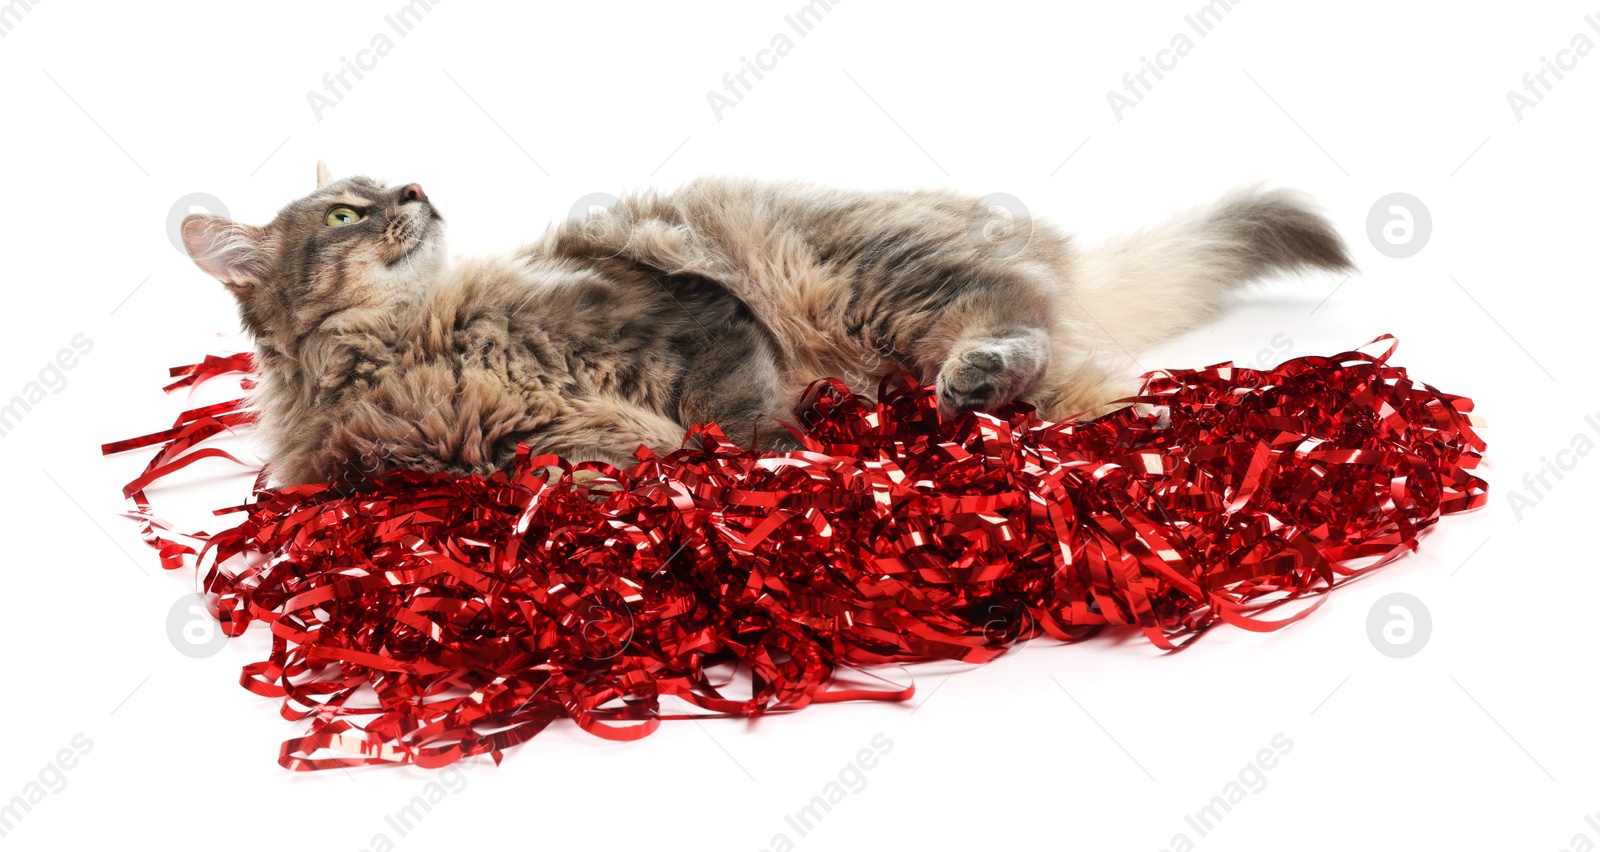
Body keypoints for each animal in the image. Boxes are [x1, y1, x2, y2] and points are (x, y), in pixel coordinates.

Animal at [178, 164, 1350, 486]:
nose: (419, 190)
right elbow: (583, 464)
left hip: (841, 279)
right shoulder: (462, 455)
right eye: (344, 212)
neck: (422, 340)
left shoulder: (691, 319)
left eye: (389, 183)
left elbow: (742, 423)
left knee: (1009, 315)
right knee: (1077, 368)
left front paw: (792, 475)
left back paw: (977, 382)